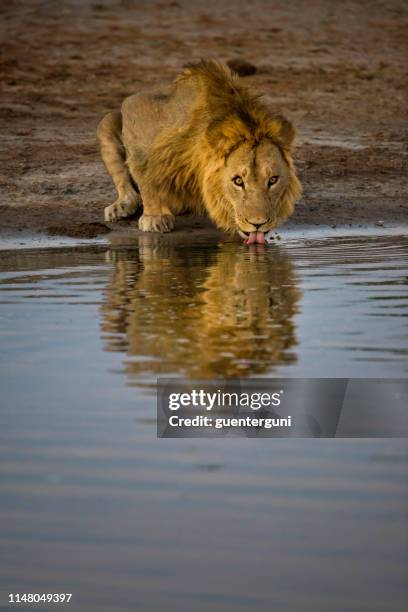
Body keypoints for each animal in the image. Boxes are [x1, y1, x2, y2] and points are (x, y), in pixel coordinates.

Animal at [97, 59, 302, 245]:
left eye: (273, 180)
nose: (258, 224)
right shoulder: (137, 110)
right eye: (238, 181)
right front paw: (155, 216)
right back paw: (120, 207)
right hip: (107, 121)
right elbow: (145, 173)